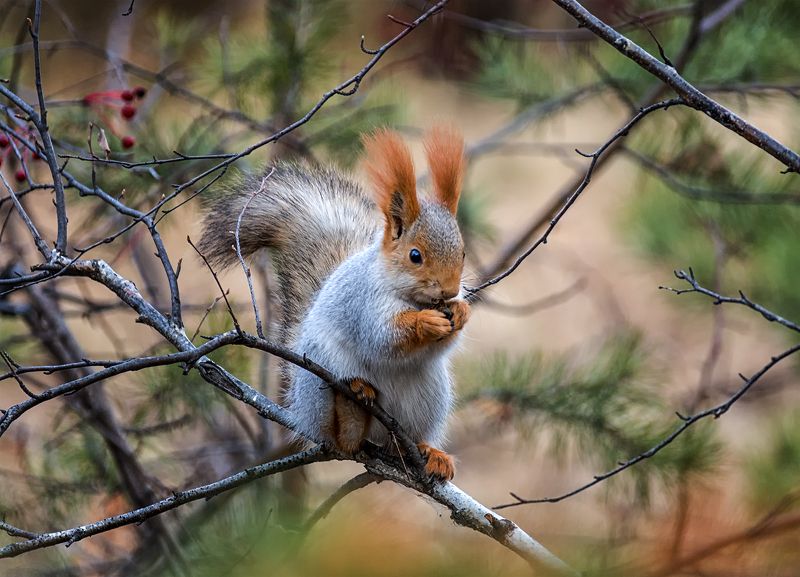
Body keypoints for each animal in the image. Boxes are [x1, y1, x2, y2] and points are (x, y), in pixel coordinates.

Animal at [198, 127, 470, 481]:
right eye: (415, 256)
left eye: (462, 253)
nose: (450, 291)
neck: (411, 297)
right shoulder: (362, 303)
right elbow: (383, 337)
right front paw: (426, 322)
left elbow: (443, 343)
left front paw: (461, 313)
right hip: (320, 377)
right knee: (344, 440)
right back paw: (352, 402)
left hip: (429, 396)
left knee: (404, 439)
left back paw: (429, 452)